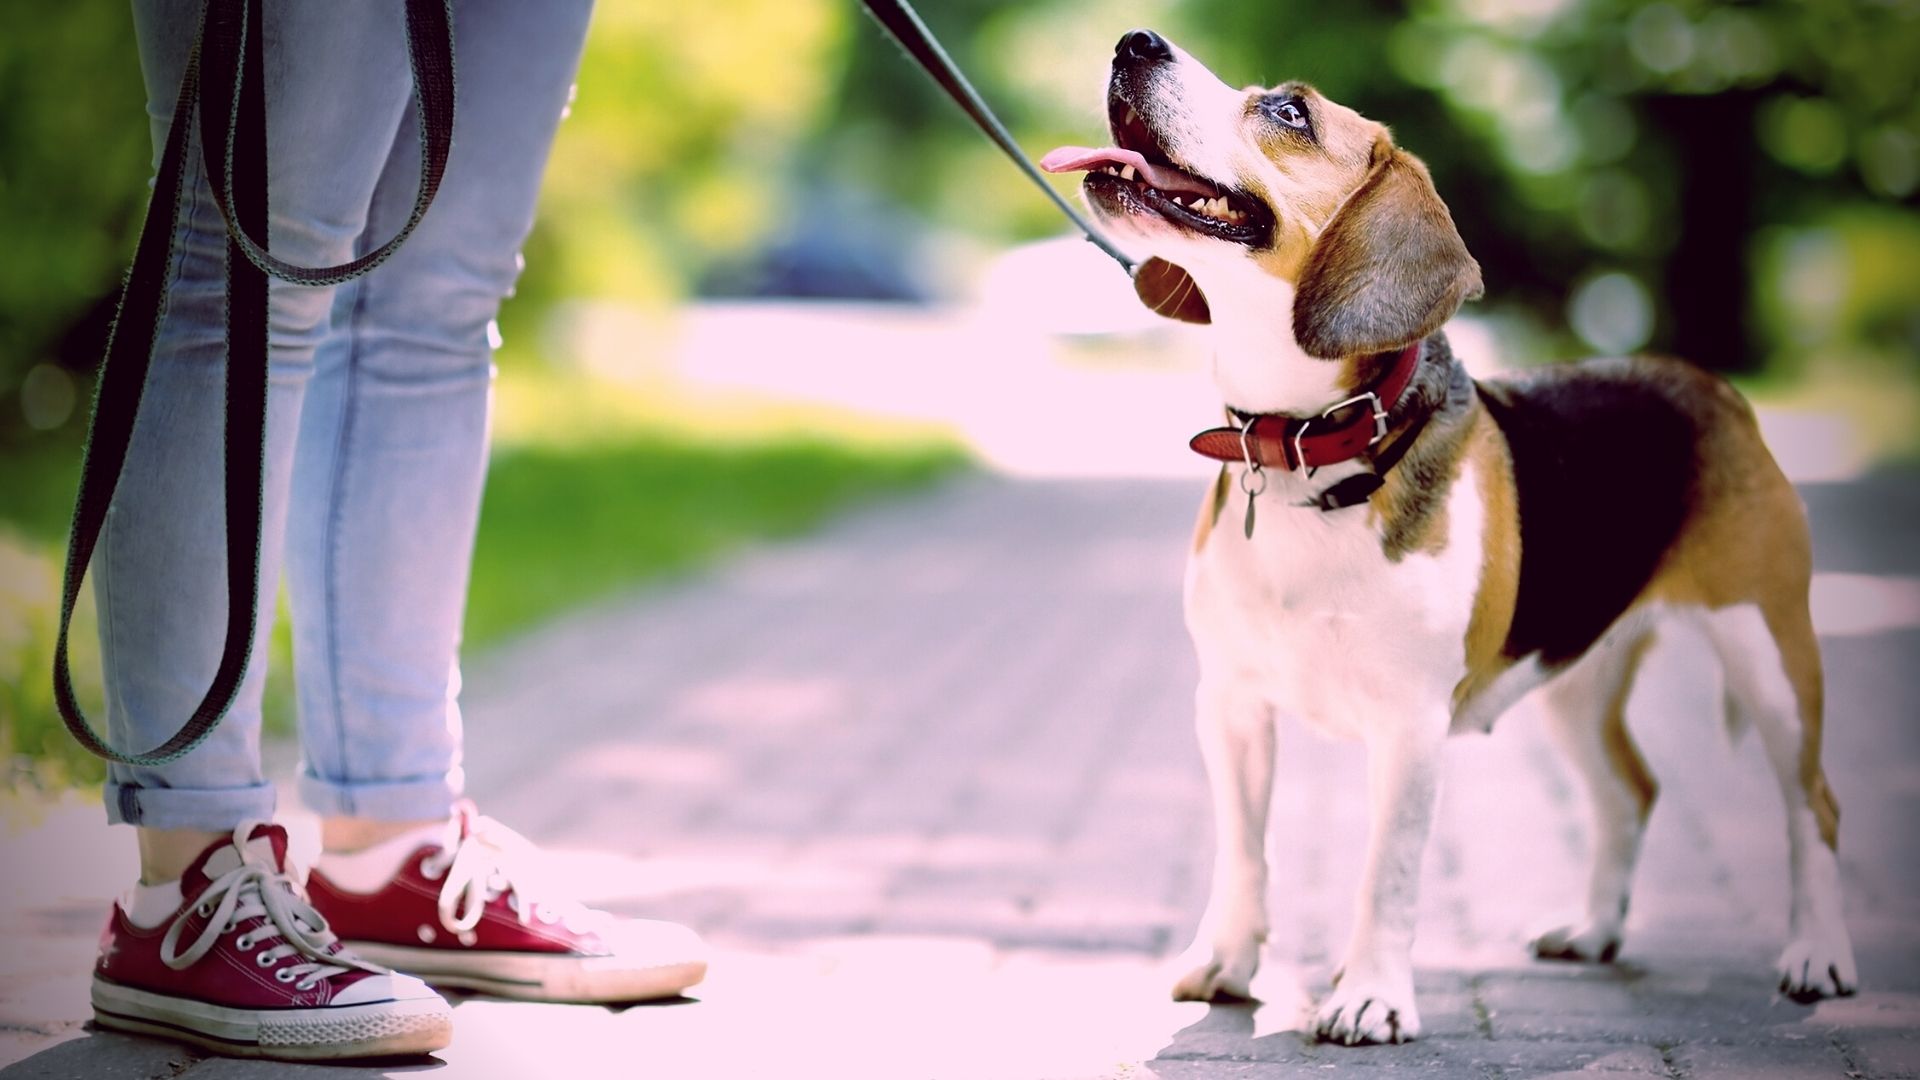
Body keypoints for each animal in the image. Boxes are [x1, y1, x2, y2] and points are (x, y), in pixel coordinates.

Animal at [1044, 29, 1850, 1037]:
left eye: (1289, 112)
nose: (1135, 41)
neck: (1310, 446)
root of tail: (1710, 386)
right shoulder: (1229, 705)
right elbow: (1243, 851)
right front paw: (1225, 961)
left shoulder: (1410, 723)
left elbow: (1385, 874)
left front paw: (1369, 997)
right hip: (1575, 676)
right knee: (1631, 793)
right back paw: (1594, 931)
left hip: (1769, 655)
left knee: (1815, 806)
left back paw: (1818, 955)